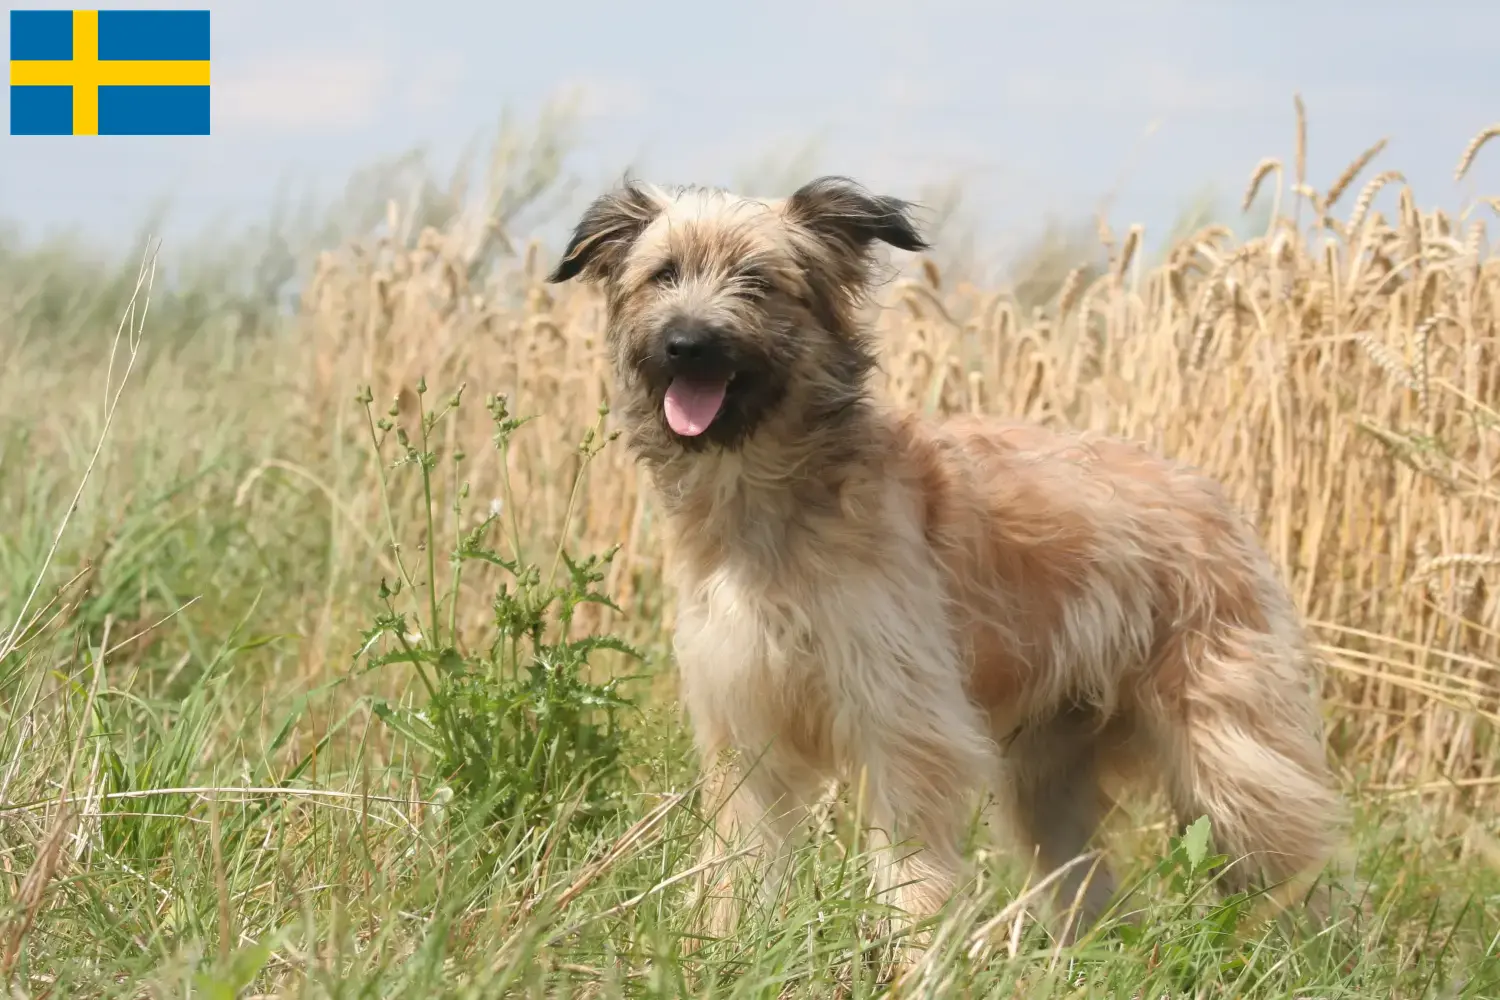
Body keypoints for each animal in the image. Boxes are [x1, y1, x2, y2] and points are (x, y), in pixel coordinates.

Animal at [549, 173, 1350, 947]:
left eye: (758, 280)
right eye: (663, 274)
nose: (687, 344)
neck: (772, 498)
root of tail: (1211, 495)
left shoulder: (904, 718)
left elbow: (911, 862)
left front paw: (914, 954)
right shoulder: (747, 722)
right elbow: (738, 858)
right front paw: (713, 947)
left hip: (1231, 757)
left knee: (1302, 867)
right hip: (1050, 771)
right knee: (1089, 881)